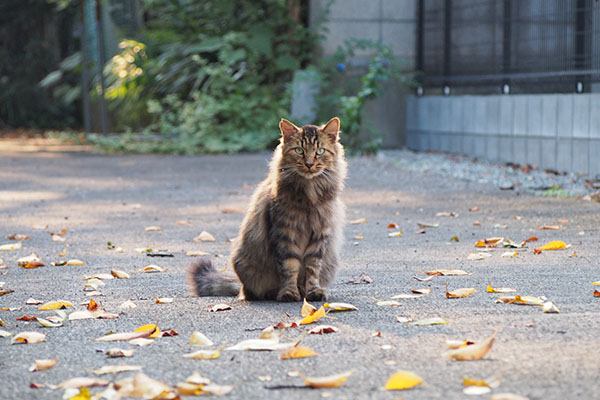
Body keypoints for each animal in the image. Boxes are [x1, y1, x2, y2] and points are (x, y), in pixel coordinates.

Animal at [188, 117, 346, 302]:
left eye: (320, 151)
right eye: (299, 150)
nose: (309, 164)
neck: (309, 193)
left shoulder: (320, 234)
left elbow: (312, 269)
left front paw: (313, 292)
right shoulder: (284, 233)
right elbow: (289, 267)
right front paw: (289, 293)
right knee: (252, 291)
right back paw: (273, 293)